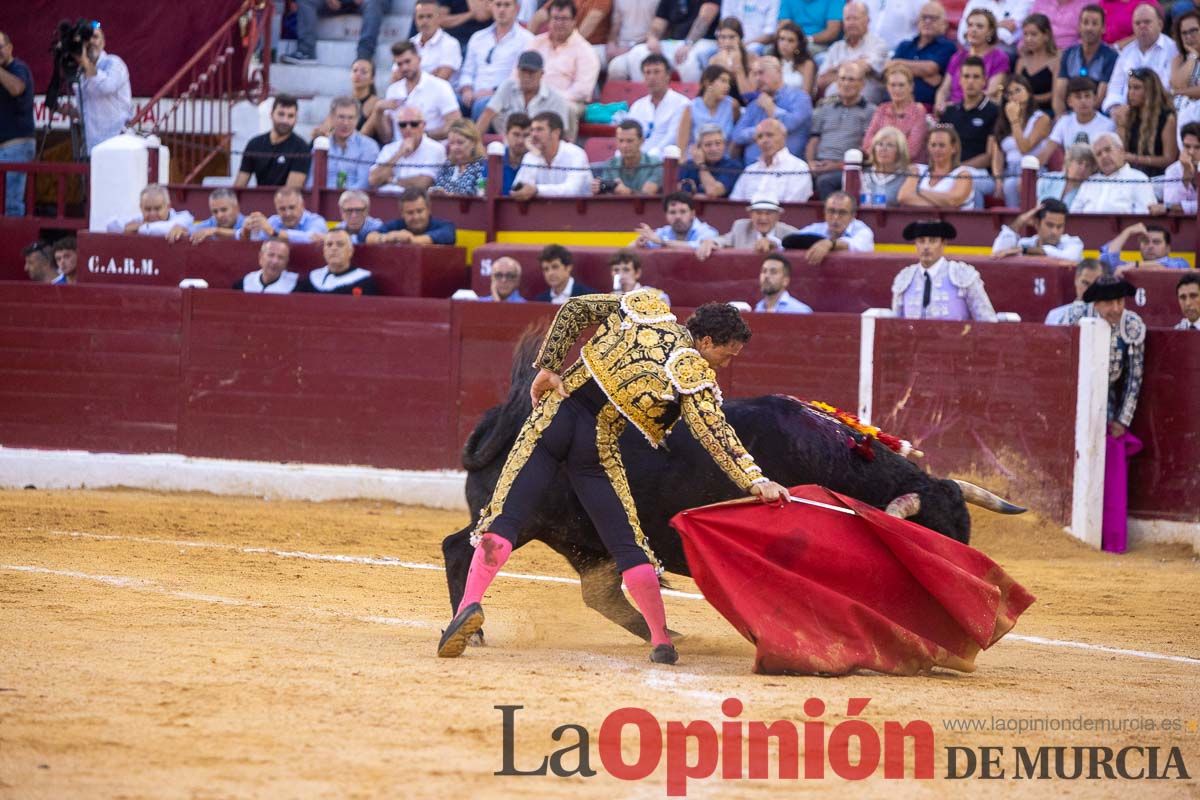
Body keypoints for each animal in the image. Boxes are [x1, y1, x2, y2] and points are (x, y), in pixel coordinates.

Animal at [441, 335, 1022, 642]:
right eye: (929, 535)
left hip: (586, 538)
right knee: (462, 549)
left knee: (601, 590)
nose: (968, 605)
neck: (838, 465)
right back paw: (469, 626)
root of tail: (500, 418)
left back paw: (666, 634)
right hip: (519, 513)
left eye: (965, 534)